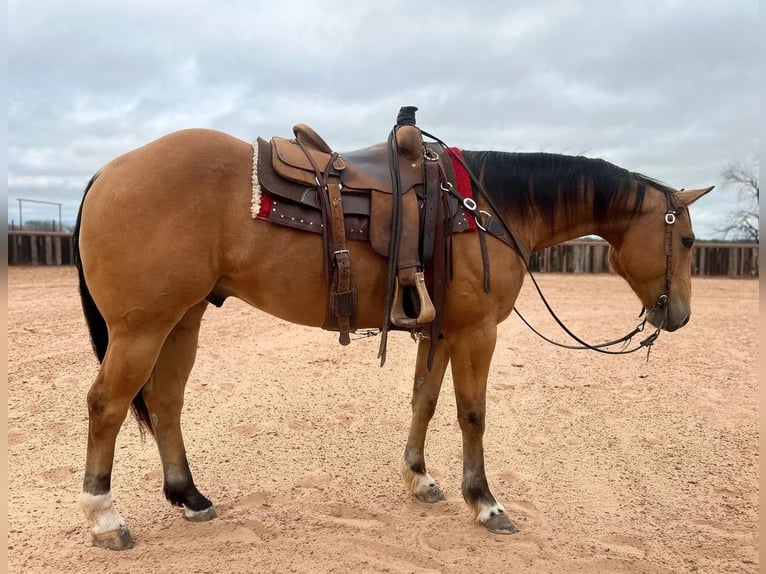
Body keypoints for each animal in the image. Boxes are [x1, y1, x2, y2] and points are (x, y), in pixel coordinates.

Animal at [72, 125, 712, 550]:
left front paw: (420, 478)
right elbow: (472, 413)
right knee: (107, 405)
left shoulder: (441, 329)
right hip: (142, 328)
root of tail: (109, 171)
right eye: (686, 241)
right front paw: (485, 502)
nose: (679, 316)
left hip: (182, 320)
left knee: (165, 401)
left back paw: (190, 497)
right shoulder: (476, 331)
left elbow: (424, 401)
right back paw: (106, 517)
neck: (484, 207)